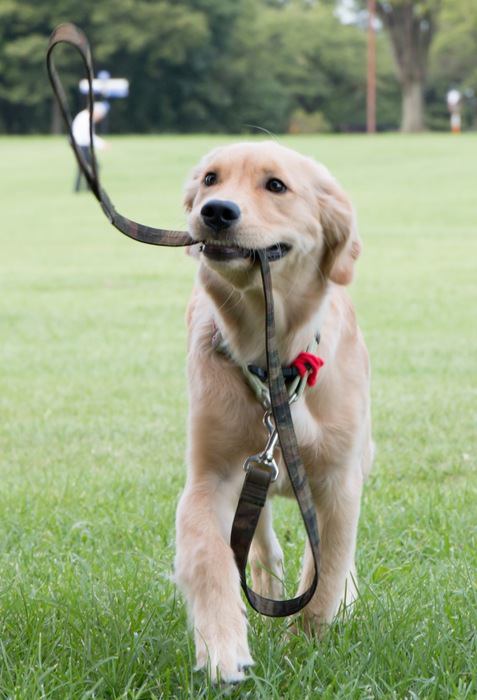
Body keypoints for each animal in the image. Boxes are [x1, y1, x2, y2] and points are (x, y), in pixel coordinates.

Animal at [173, 139, 374, 680]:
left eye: (276, 185)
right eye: (211, 179)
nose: (216, 211)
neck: (275, 364)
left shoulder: (339, 481)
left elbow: (328, 570)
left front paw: (307, 645)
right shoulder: (212, 476)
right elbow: (209, 557)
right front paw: (222, 648)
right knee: (259, 538)